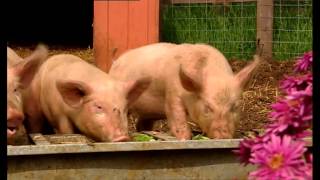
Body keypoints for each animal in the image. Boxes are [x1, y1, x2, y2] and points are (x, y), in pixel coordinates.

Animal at [109, 43, 262, 140]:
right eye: (207, 108)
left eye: (234, 107)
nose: (223, 136)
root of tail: (115, 63)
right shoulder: (172, 93)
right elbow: (176, 115)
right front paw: (185, 138)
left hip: (148, 112)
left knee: (142, 123)